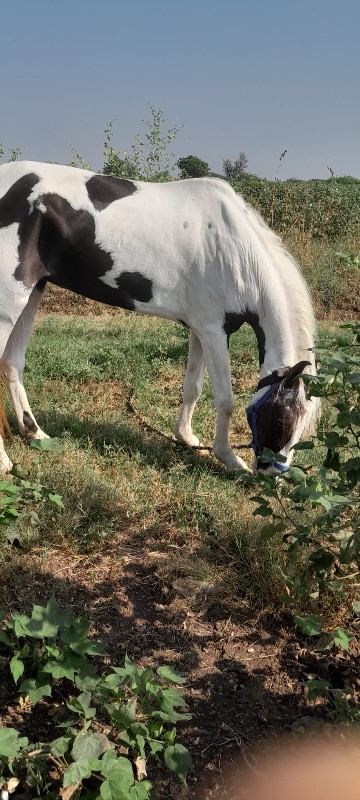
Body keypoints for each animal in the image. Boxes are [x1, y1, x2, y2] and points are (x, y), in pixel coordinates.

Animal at [0, 162, 318, 476]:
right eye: (281, 419)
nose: (271, 477)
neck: (234, 249)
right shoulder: (214, 332)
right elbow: (225, 400)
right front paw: (228, 458)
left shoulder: (200, 329)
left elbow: (192, 388)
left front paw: (187, 437)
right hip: (11, 300)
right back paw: (5, 462)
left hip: (33, 291)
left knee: (13, 363)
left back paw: (35, 433)